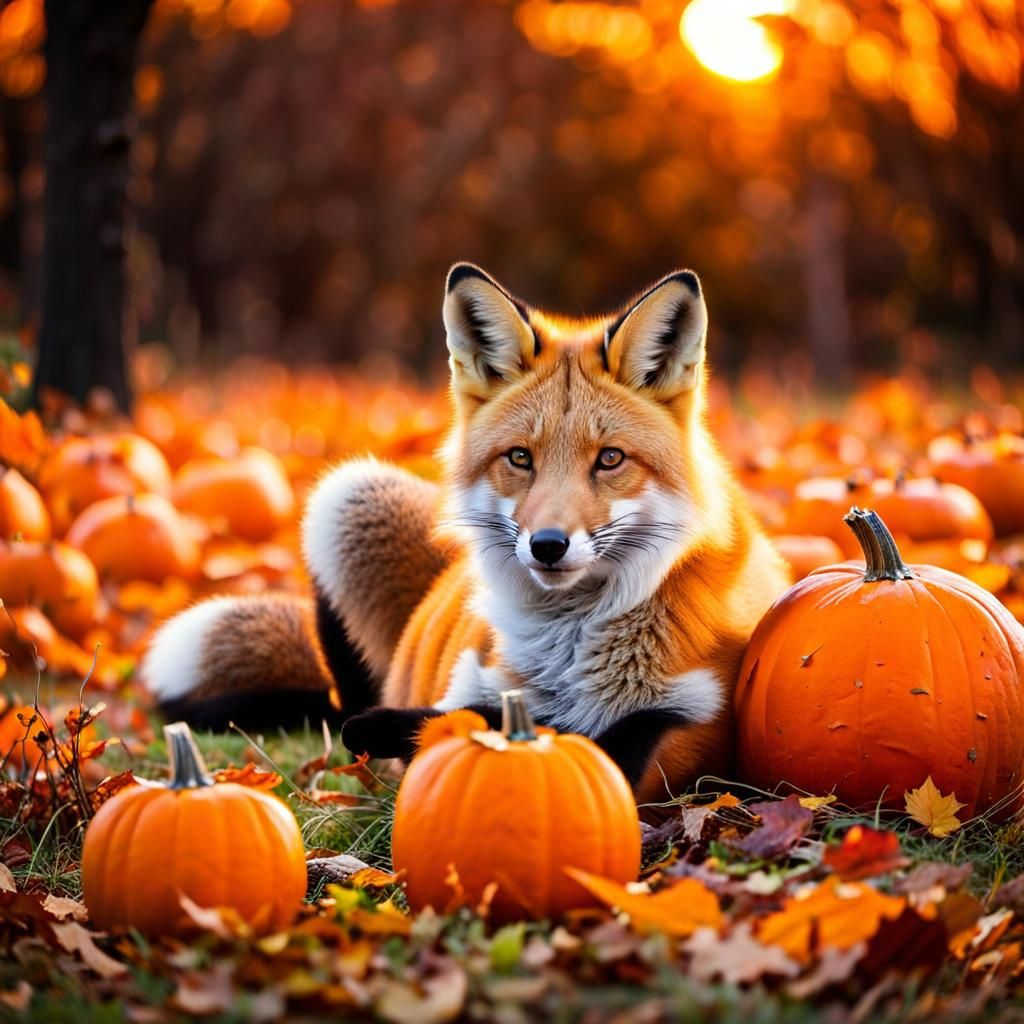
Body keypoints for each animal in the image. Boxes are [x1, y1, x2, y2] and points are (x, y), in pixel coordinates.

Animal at [143, 263, 790, 805]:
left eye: (609, 459)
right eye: (520, 458)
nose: (547, 545)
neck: (567, 649)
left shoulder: (696, 721)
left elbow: (592, 747)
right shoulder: (472, 685)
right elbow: (457, 722)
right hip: (346, 497)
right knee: (343, 703)